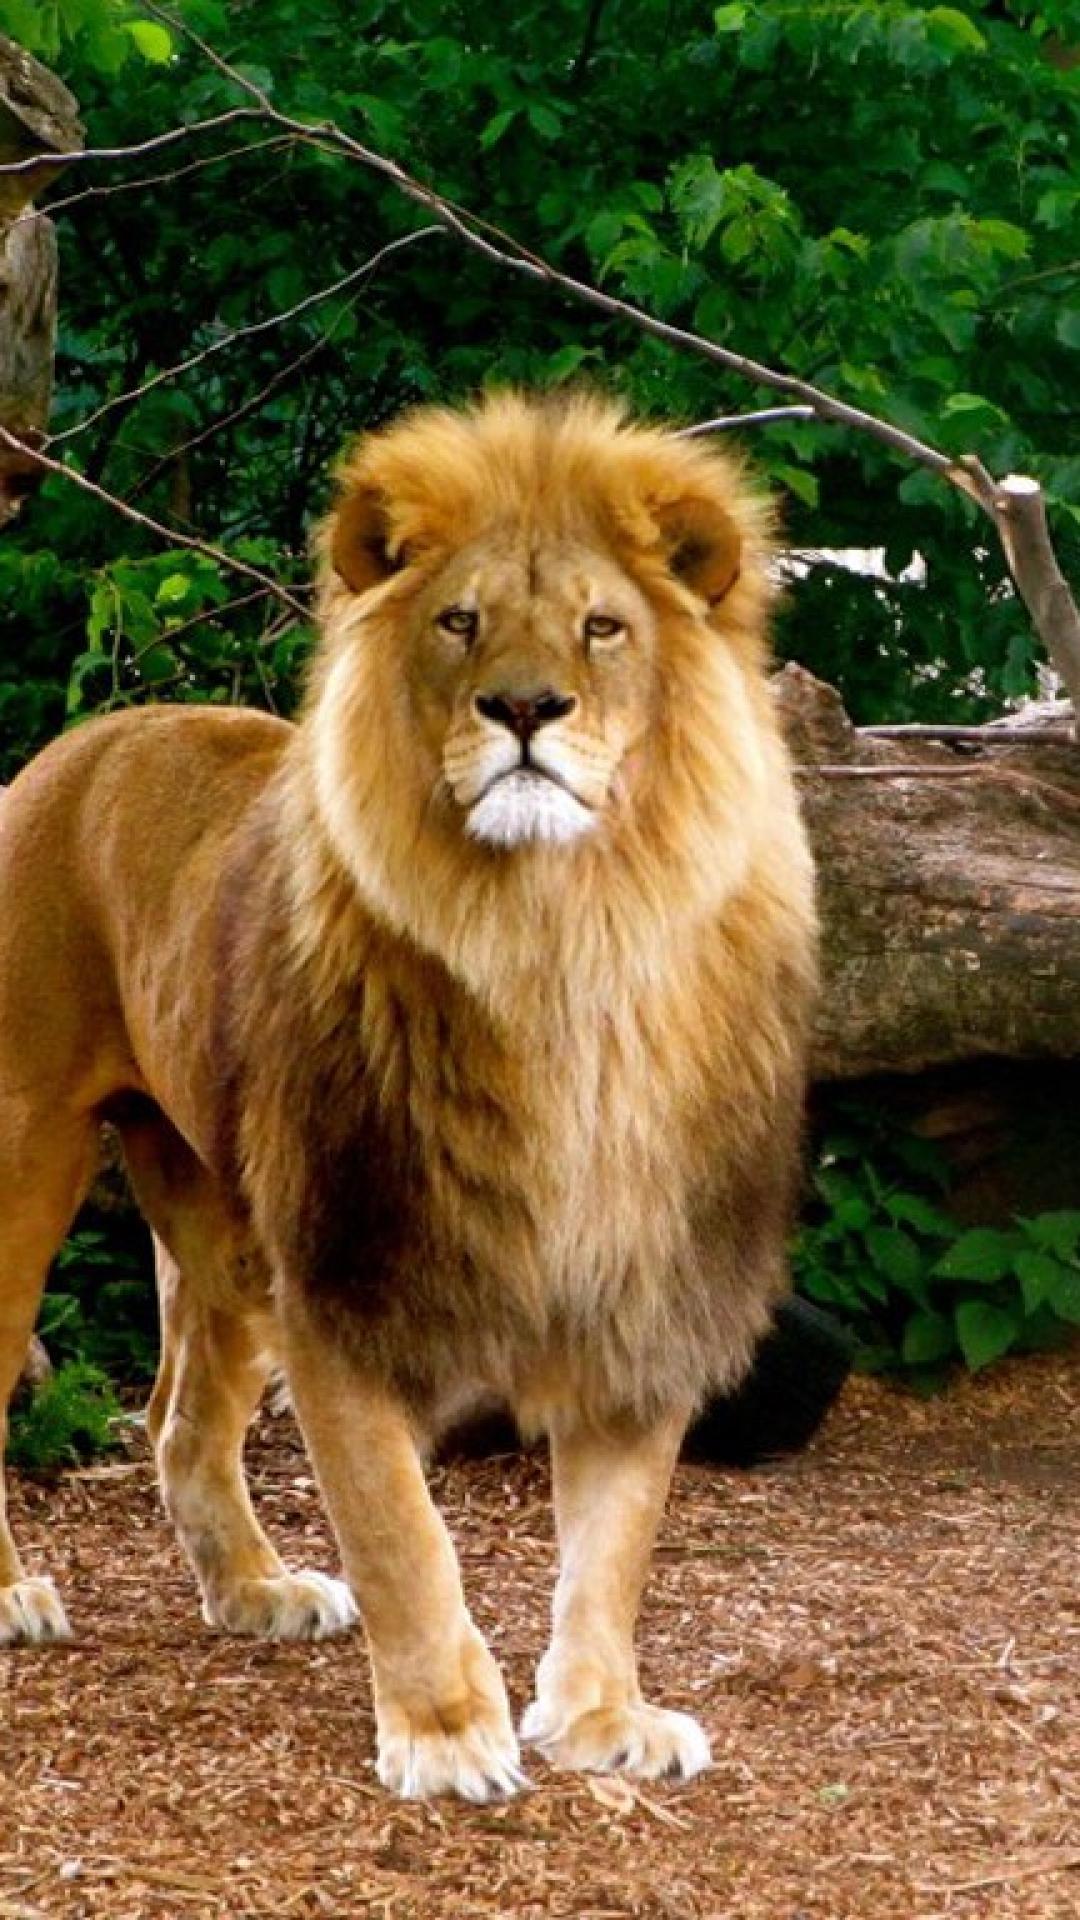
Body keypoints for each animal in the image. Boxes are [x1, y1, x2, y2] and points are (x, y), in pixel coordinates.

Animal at [0, 392, 816, 1800]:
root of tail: (90, 734)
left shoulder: (641, 1269)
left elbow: (618, 1538)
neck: (561, 945)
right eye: (460, 621)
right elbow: (401, 1531)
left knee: (177, 1423)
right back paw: (13, 1598)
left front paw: (602, 1716)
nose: (526, 706)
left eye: (603, 625)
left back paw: (256, 1592)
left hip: (222, 1219)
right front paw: (443, 1735)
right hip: (27, 1163)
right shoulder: (347, 1267)